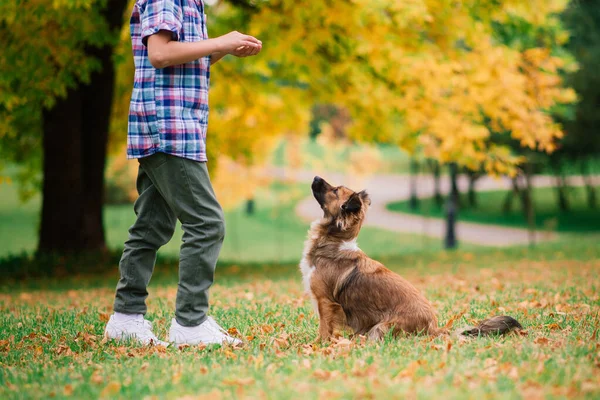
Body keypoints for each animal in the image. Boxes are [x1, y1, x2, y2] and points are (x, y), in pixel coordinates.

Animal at [300, 177, 520, 340]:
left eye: (335, 190)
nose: (316, 177)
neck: (334, 241)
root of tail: (434, 327)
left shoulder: (325, 302)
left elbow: (324, 328)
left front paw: (318, 346)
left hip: (381, 327)